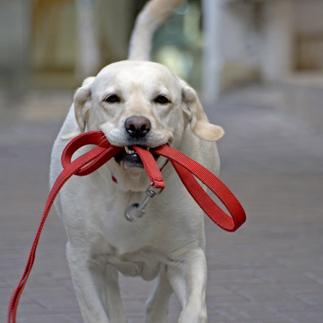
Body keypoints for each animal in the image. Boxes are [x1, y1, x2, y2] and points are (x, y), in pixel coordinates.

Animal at [50, 1, 225, 322]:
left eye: (162, 100)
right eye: (111, 98)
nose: (137, 126)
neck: (132, 188)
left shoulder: (188, 254)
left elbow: (193, 308)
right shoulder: (82, 259)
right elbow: (96, 311)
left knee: (160, 293)